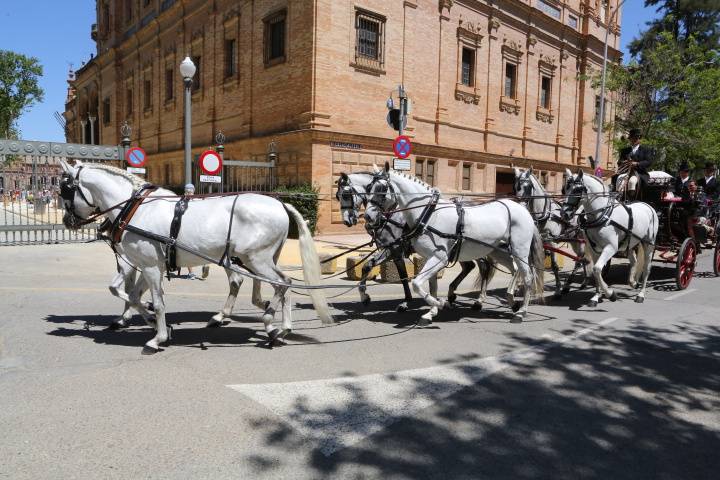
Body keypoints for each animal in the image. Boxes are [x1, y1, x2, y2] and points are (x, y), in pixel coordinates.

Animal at [61, 161, 332, 352]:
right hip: (260, 259)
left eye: (64, 189)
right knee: (280, 286)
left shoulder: (150, 267)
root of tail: (279, 204)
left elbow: (156, 302)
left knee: (282, 283)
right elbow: (136, 297)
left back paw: (269, 322)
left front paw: (157, 338)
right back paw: (280, 328)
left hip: (257, 259)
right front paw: (153, 322)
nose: (67, 221)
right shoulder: (149, 266)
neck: (135, 208)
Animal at [362, 163, 544, 324]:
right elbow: (431, 286)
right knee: (514, 270)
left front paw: (439, 303)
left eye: (382, 189)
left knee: (527, 276)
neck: (429, 214)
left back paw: (521, 312)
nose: (368, 217)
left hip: (519, 251)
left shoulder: (438, 258)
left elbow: (416, 283)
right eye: (369, 187)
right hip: (498, 251)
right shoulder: (429, 257)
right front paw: (430, 312)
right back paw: (512, 301)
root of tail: (523, 209)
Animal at [516, 167, 588, 298]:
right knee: (582, 259)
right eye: (516, 187)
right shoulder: (540, 241)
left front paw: (558, 289)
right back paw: (584, 282)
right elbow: (533, 263)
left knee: (579, 260)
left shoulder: (551, 242)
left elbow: (554, 266)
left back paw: (567, 286)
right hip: (575, 240)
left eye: (528, 186)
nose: (521, 208)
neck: (545, 213)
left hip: (582, 240)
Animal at [564, 167, 660, 306]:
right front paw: (596, 296)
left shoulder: (610, 247)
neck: (602, 215)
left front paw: (610, 294)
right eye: (565, 189)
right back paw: (632, 282)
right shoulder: (593, 249)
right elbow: (595, 270)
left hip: (648, 243)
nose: (564, 213)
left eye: (577, 190)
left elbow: (597, 269)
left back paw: (640, 294)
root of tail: (648, 206)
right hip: (630, 243)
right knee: (634, 261)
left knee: (647, 267)